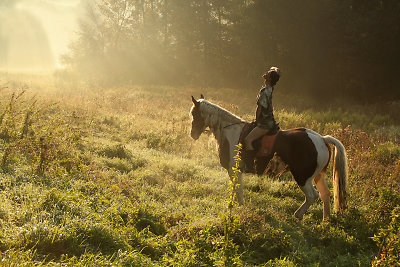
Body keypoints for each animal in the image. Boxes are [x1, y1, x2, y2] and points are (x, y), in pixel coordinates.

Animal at [189, 95, 348, 221]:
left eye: (195, 114)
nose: (192, 134)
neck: (231, 131)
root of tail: (321, 139)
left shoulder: (233, 169)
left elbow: (238, 189)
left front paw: (239, 207)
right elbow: (235, 188)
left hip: (302, 177)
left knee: (312, 196)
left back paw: (298, 215)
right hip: (317, 176)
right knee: (325, 194)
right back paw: (325, 220)